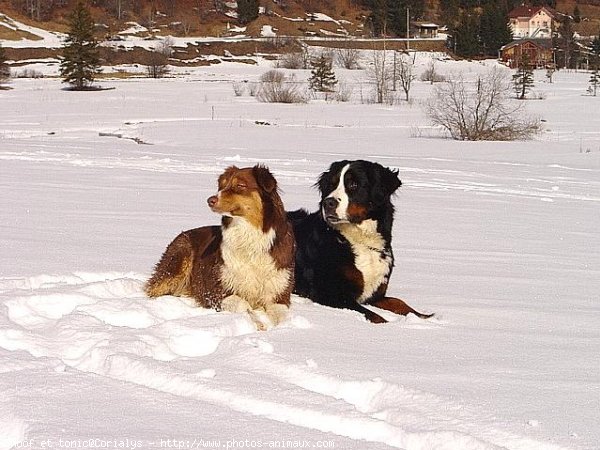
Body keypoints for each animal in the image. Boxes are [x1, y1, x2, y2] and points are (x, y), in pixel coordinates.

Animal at [145, 166, 296, 330]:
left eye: (240, 185)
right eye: (222, 185)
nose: (210, 200)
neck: (248, 237)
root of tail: (182, 233)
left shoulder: (279, 294)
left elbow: (281, 315)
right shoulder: (217, 291)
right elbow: (243, 304)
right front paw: (258, 324)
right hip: (177, 263)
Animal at [290, 160, 434, 322]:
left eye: (353, 184)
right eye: (331, 185)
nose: (328, 203)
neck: (361, 242)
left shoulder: (375, 295)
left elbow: (399, 302)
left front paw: (423, 316)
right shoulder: (332, 294)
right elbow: (373, 315)